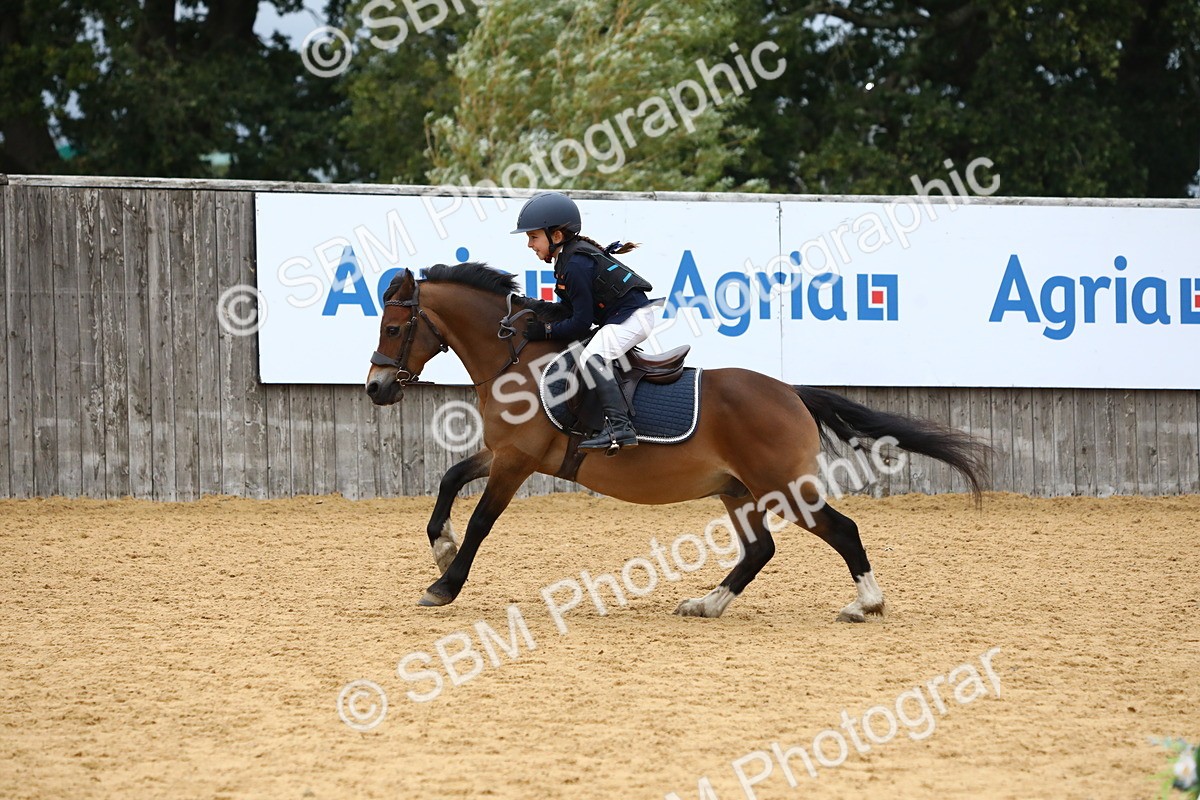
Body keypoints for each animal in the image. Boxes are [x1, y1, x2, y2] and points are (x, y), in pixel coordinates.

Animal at [365, 263, 989, 621]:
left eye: (393, 328)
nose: (375, 388)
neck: (516, 362)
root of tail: (789, 392)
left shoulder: (516, 462)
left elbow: (480, 523)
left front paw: (444, 584)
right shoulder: (506, 454)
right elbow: (450, 480)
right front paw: (440, 546)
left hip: (782, 487)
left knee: (842, 530)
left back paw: (866, 604)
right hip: (738, 490)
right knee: (760, 549)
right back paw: (706, 603)